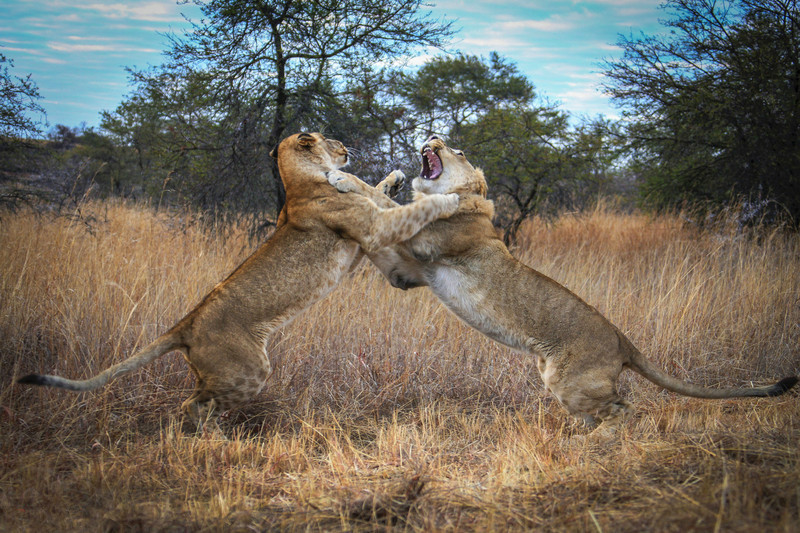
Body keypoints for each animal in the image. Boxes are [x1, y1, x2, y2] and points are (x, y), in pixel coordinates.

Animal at [17, 133, 456, 432]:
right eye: (331, 139)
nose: (346, 146)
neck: (299, 181)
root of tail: (185, 326)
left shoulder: (366, 232)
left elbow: (376, 190)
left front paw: (394, 177)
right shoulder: (372, 229)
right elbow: (403, 209)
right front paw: (445, 199)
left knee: (195, 402)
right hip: (249, 369)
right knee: (192, 408)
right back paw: (215, 441)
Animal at [328, 134, 796, 436]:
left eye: (458, 150)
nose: (434, 135)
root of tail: (623, 341)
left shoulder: (426, 239)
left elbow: (376, 201)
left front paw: (344, 180)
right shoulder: (405, 273)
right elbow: (379, 212)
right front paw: (390, 178)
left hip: (567, 381)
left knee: (625, 410)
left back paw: (592, 444)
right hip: (561, 384)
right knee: (605, 412)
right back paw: (579, 438)